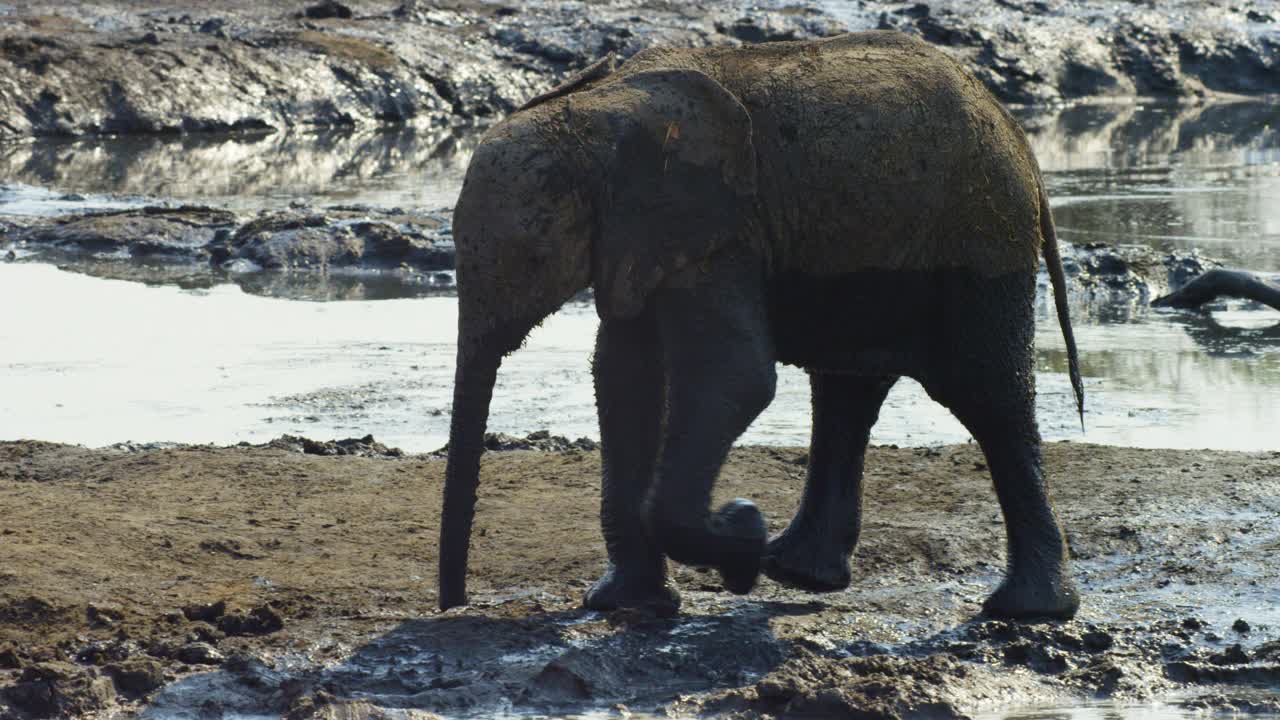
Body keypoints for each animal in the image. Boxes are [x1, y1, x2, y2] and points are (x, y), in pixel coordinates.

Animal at [435, 30, 1085, 617]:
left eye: (530, 258)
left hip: (981, 238)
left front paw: (742, 534)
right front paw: (627, 601)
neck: (598, 108)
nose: (454, 606)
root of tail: (1015, 133)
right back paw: (800, 574)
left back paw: (1026, 610)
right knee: (847, 390)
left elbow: (734, 376)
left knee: (985, 393)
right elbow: (623, 376)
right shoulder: (644, 235)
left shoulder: (723, 228)